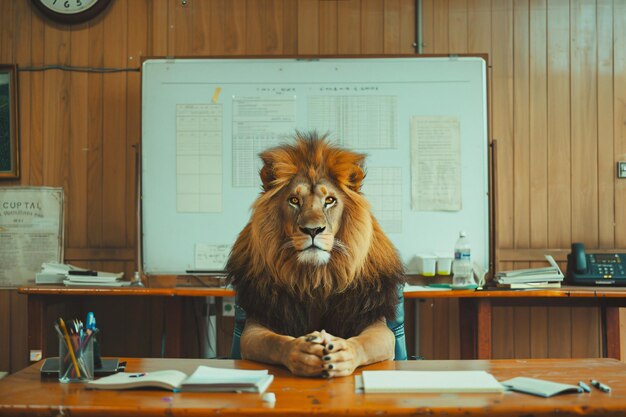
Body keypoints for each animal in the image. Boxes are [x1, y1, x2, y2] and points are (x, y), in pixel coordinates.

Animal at [224, 132, 404, 376]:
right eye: (294, 200)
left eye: (329, 200)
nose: (312, 230)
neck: (316, 278)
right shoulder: (257, 322)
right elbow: (274, 340)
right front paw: (299, 351)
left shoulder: (374, 321)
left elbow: (362, 342)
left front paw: (343, 353)